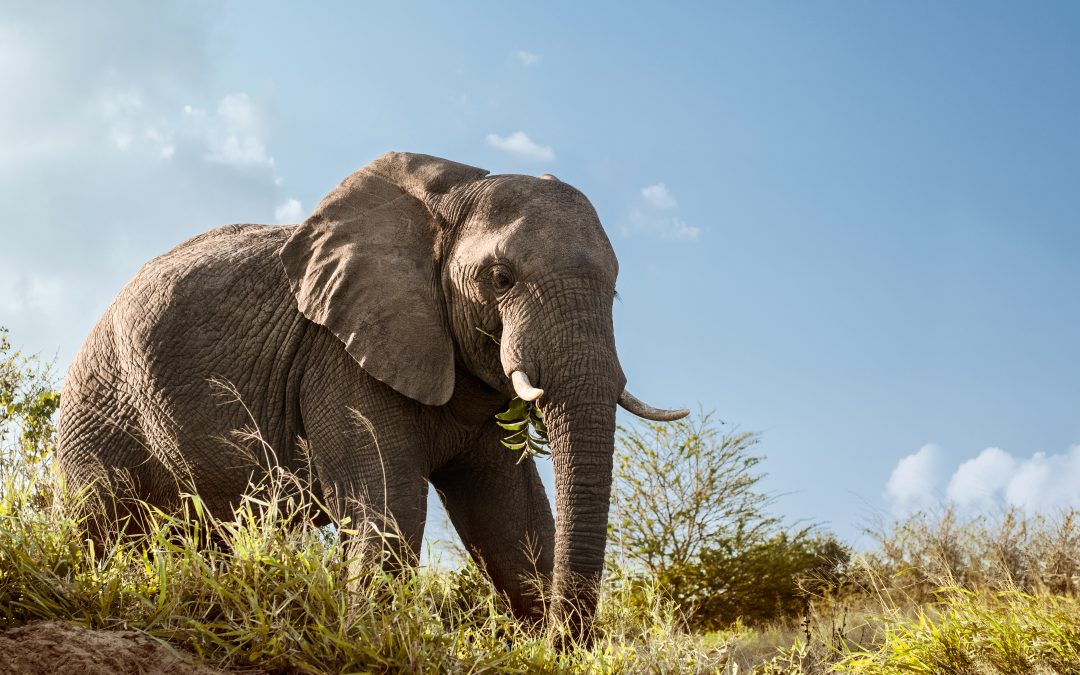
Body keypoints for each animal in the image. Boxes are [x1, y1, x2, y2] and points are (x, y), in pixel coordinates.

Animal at [56, 151, 682, 635]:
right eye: (501, 278)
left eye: (615, 289)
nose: (563, 638)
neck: (449, 201)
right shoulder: (338, 357)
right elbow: (388, 502)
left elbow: (511, 520)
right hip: (98, 400)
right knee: (98, 521)